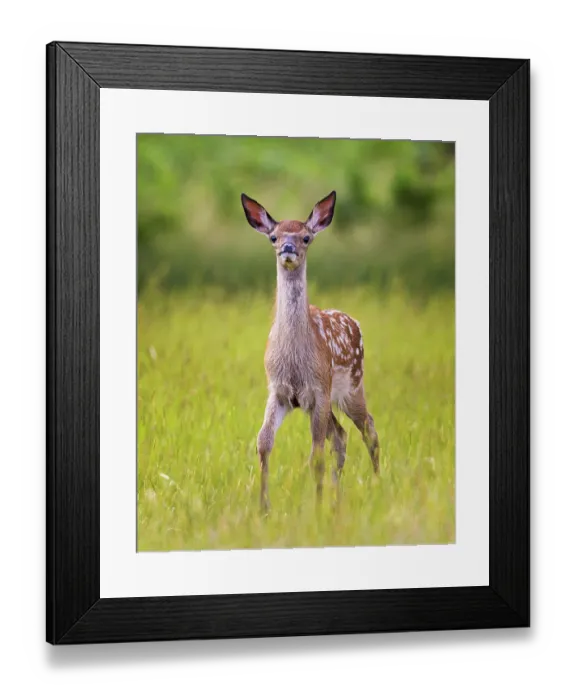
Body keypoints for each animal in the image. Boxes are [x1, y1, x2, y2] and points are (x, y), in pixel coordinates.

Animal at [241, 190, 380, 513]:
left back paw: (378, 485)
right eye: (274, 237)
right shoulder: (279, 390)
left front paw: (315, 508)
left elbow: (315, 455)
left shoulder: (318, 388)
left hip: (350, 387)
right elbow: (263, 443)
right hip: (324, 402)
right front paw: (263, 508)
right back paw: (336, 497)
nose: (288, 248)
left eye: (306, 237)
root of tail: (354, 322)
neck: (294, 360)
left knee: (368, 428)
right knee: (341, 436)